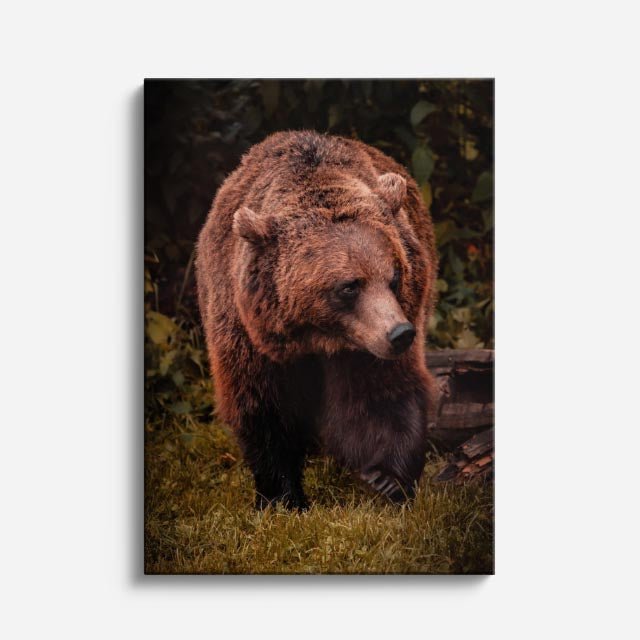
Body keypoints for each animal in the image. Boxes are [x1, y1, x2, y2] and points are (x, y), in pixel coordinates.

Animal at [195, 130, 438, 510]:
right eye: (349, 286)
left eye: (395, 276)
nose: (400, 333)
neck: (318, 338)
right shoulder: (247, 333)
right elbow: (263, 407)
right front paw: (282, 497)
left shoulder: (368, 342)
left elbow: (382, 394)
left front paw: (387, 479)